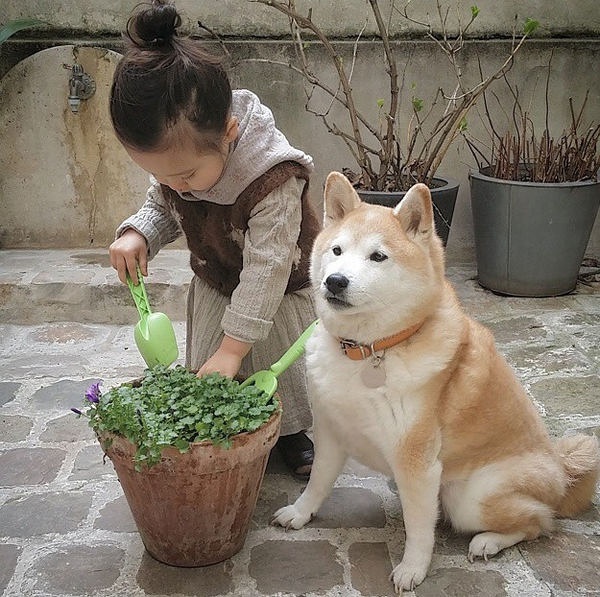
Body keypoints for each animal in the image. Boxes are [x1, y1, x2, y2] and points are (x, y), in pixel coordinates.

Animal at [274, 171, 600, 592]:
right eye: (337, 250)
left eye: (378, 256)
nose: (335, 281)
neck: (370, 350)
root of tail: (561, 471)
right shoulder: (331, 431)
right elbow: (317, 483)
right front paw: (300, 513)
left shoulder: (417, 462)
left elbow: (418, 528)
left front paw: (412, 568)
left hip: (470, 497)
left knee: (539, 521)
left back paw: (488, 542)